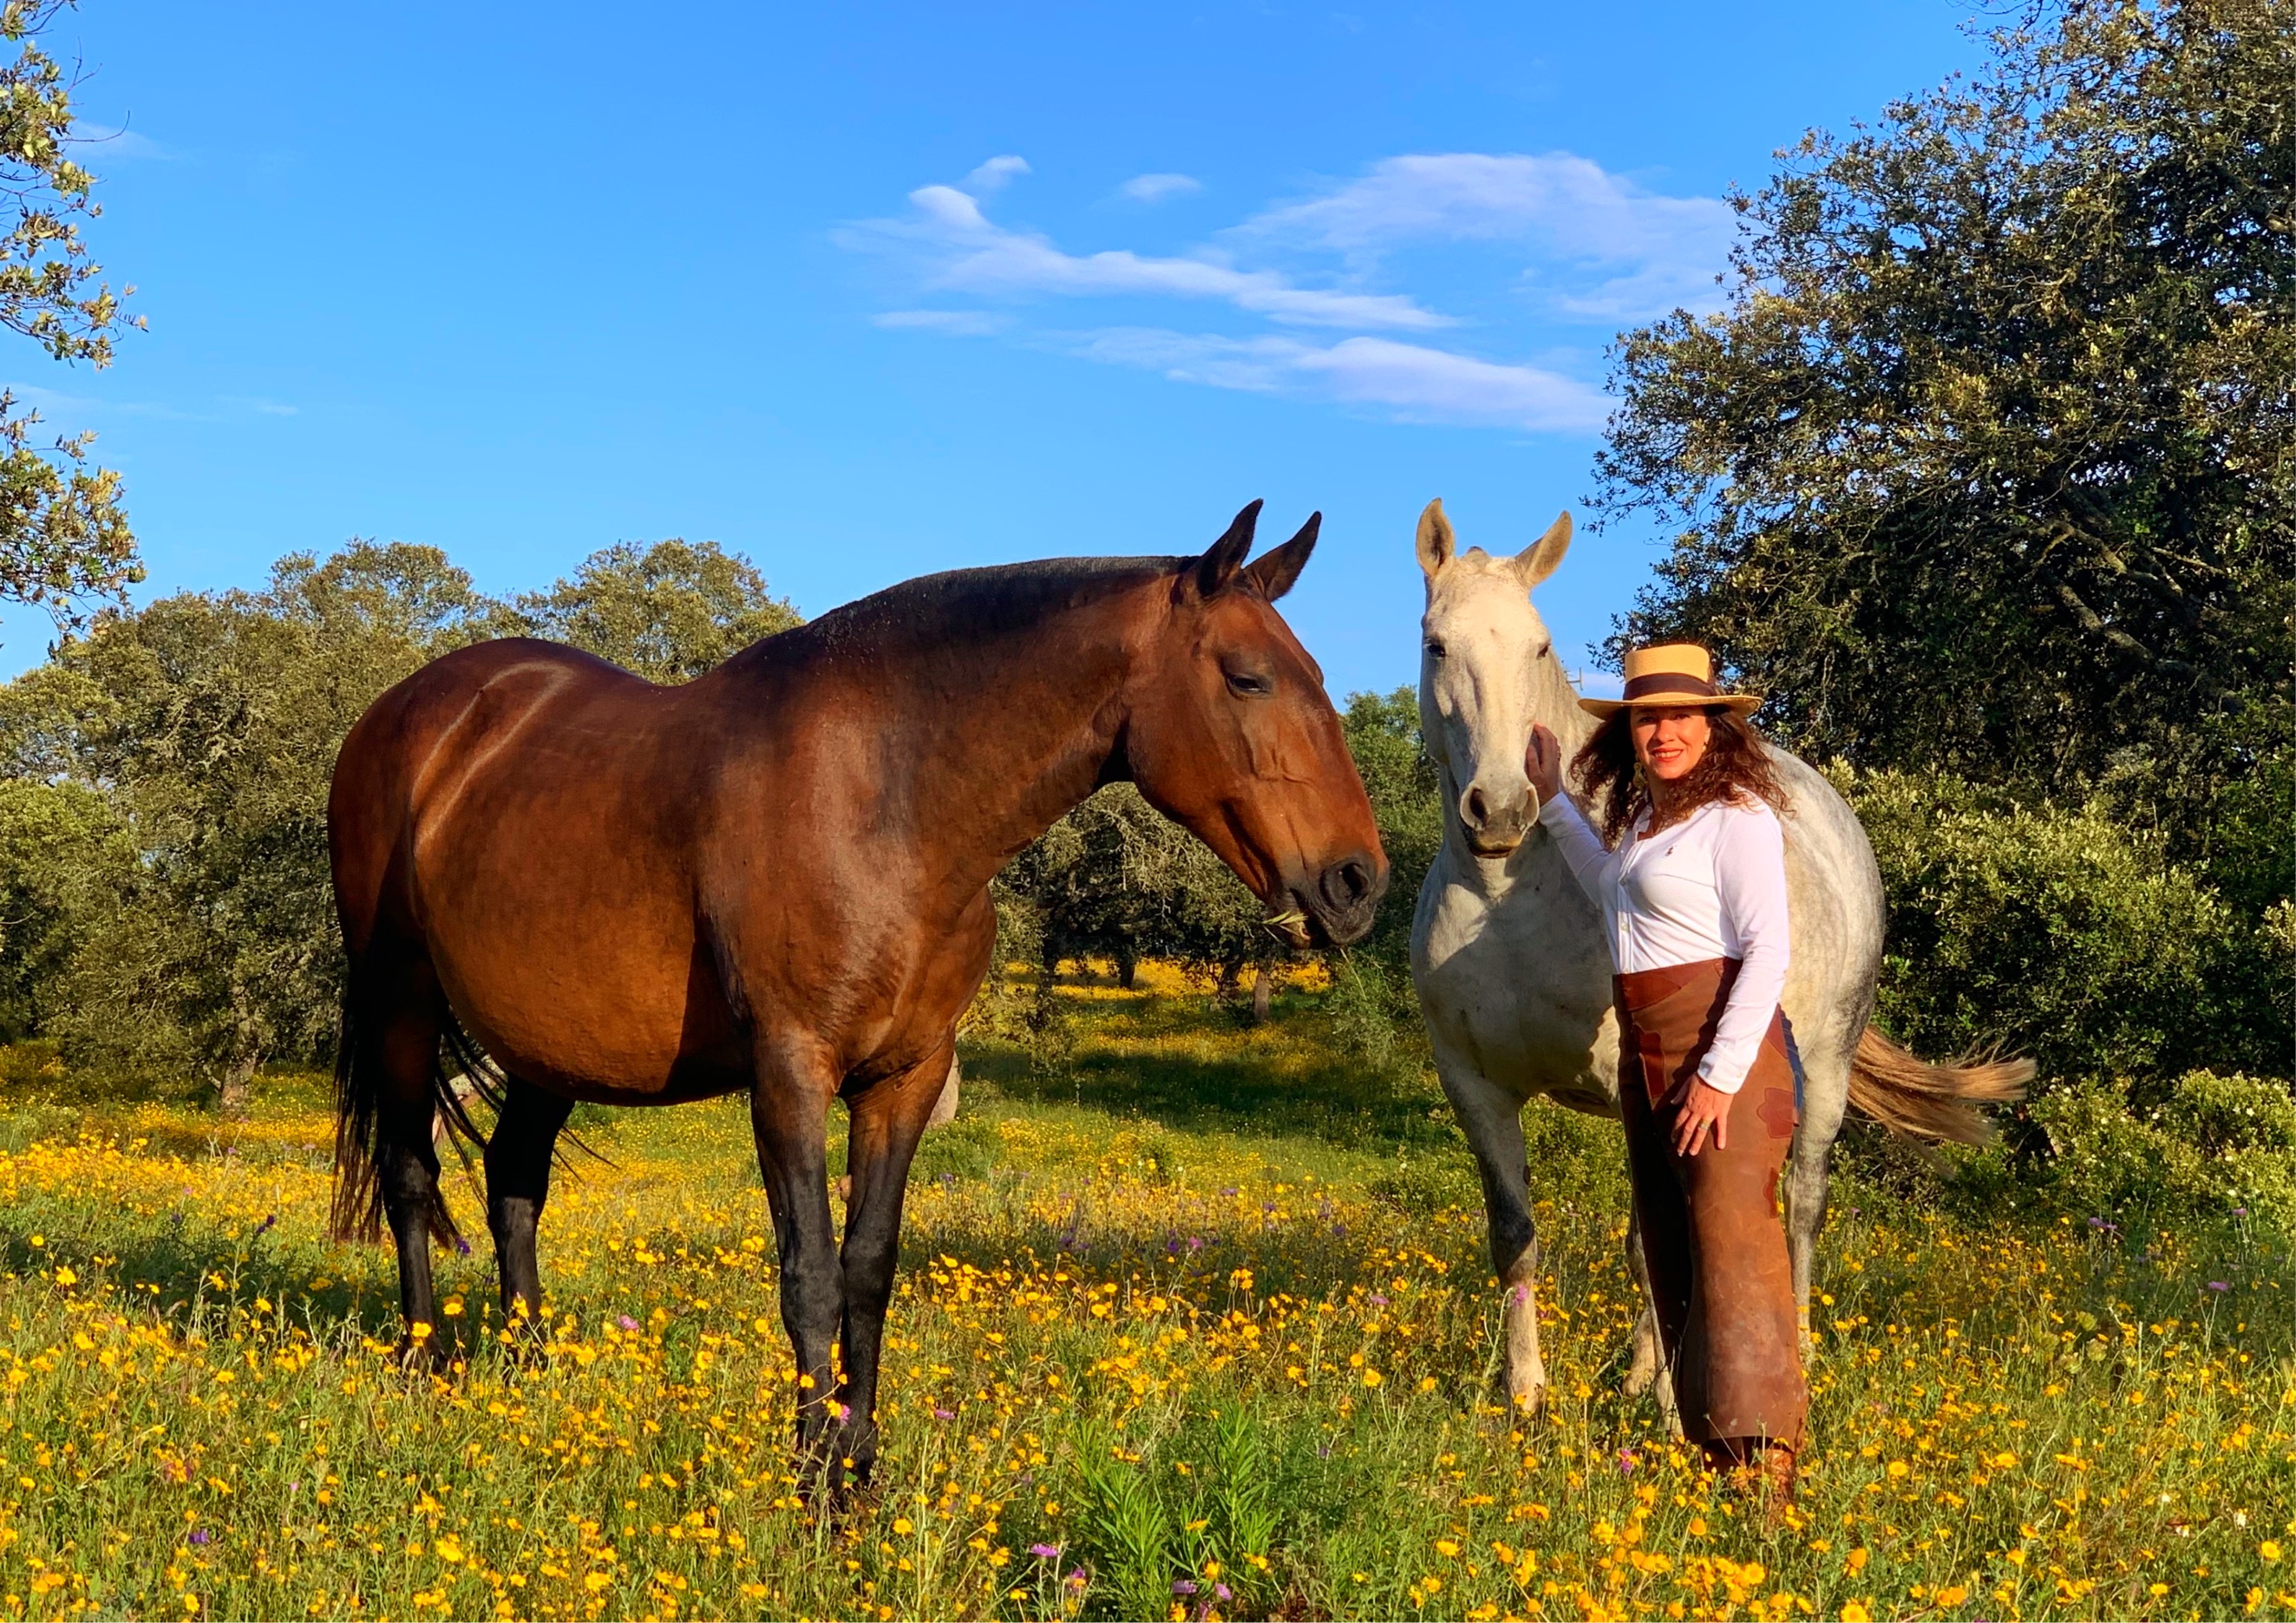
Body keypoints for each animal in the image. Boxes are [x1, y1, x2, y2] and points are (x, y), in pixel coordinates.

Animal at [326, 500, 1388, 1487]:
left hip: (548, 1043)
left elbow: (867, 1270)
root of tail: (409, 711)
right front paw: (812, 1483)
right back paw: (422, 1370)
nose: (1355, 881)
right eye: (1246, 676)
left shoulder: (904, 1077)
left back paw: (533, 1376)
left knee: (513, 1184)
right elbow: (808, 1275)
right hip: (400, 999)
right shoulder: (790, 1070)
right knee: (411, 1176)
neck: (889, 802)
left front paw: (860, 1469)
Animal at [1405, 499, 2027, 1415]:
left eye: (1540, 646)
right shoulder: (1473, 1087)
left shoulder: (1637, 1085)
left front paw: (1670, 1408)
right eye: (1437, 644)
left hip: (1825, 1068)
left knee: (1799, 1203)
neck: (1509, 898)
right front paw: (1526, 1396)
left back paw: (1780, 1353)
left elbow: (1657, 1240)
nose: (1502, 808)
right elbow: (1517, 1234)